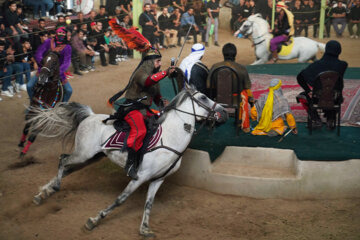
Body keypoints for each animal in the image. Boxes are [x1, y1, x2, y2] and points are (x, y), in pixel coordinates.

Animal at [28, 84, 226, 236]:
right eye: (203, 97)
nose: (223, 111)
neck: (170, 137)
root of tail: (90, 116)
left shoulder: (158, 179)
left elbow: (149, 204)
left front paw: (144, 229)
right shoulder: (140, 176)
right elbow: (120, 199)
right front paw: (94, 220)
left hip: (92, 157)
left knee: (67, 168)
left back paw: (43, 193)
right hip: (83, 153)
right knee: (63, 160)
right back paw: (52, 188)